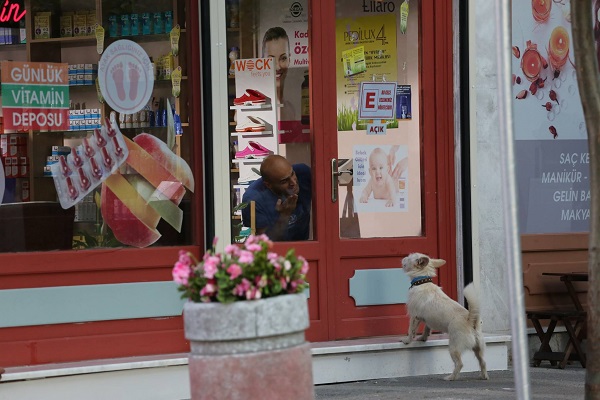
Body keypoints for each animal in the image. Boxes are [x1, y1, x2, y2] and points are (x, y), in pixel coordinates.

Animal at [398, 253, 488, 382]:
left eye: (409, 257)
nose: (403, 257)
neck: (422, 281)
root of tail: (471, 320)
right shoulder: (427, 319)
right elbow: (427, 328)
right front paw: (423, 338)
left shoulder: (414, 316)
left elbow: (411, 330)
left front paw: (407, 340)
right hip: (478, 348)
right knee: (483, 362)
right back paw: (484, 376)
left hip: (454, 348)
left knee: (459, 364)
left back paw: (451, 377)